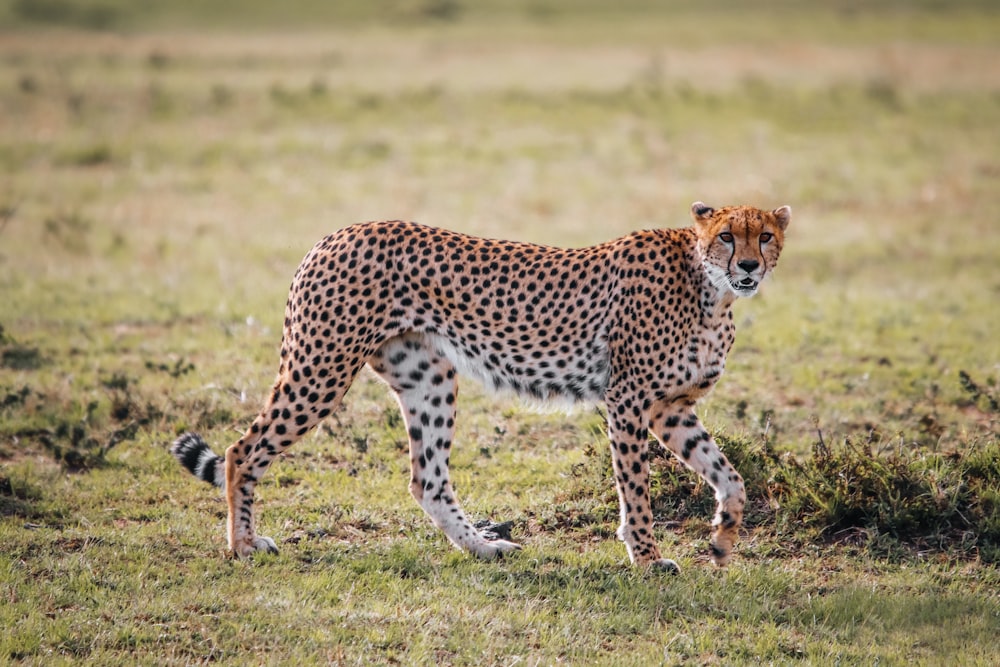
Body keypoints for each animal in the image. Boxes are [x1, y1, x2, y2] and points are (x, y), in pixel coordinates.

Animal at [176, 201, 792, 572]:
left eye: (764, 236)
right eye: (725, 237)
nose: (748, 267)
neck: (710, 291)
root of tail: (339, 232)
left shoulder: (671, 407)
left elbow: (730, 476)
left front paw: (722, 538)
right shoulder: (629, 401)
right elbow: (636, 488)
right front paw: (645, 556)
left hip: (427, 377)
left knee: (426, 479)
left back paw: (483, 545)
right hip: (321, 369)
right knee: (242, 449)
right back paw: (242, 544)